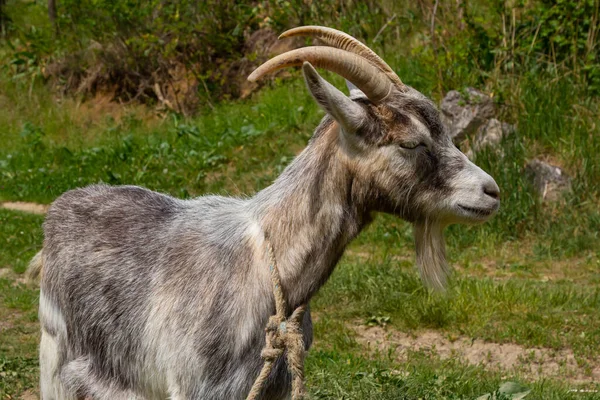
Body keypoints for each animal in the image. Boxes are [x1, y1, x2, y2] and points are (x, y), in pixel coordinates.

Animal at [28, 25, 500, 400]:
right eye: (411, 142)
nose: (491, 191)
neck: (269, 270)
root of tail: (61, 211)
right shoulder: (195, 388)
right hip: (56, 361)